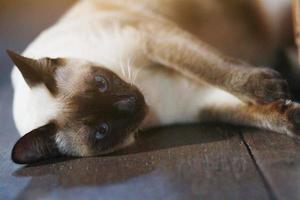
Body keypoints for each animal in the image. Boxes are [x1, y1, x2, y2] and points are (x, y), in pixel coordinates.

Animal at [8, 0, 298, 164]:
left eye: (101, 82)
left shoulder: (156, 38)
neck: (149, 91)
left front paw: (269, 88)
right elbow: (246, 112)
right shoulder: (193, 100)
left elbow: (210, 67)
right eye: (102, 130)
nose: (130, 102)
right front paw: (293, 118)